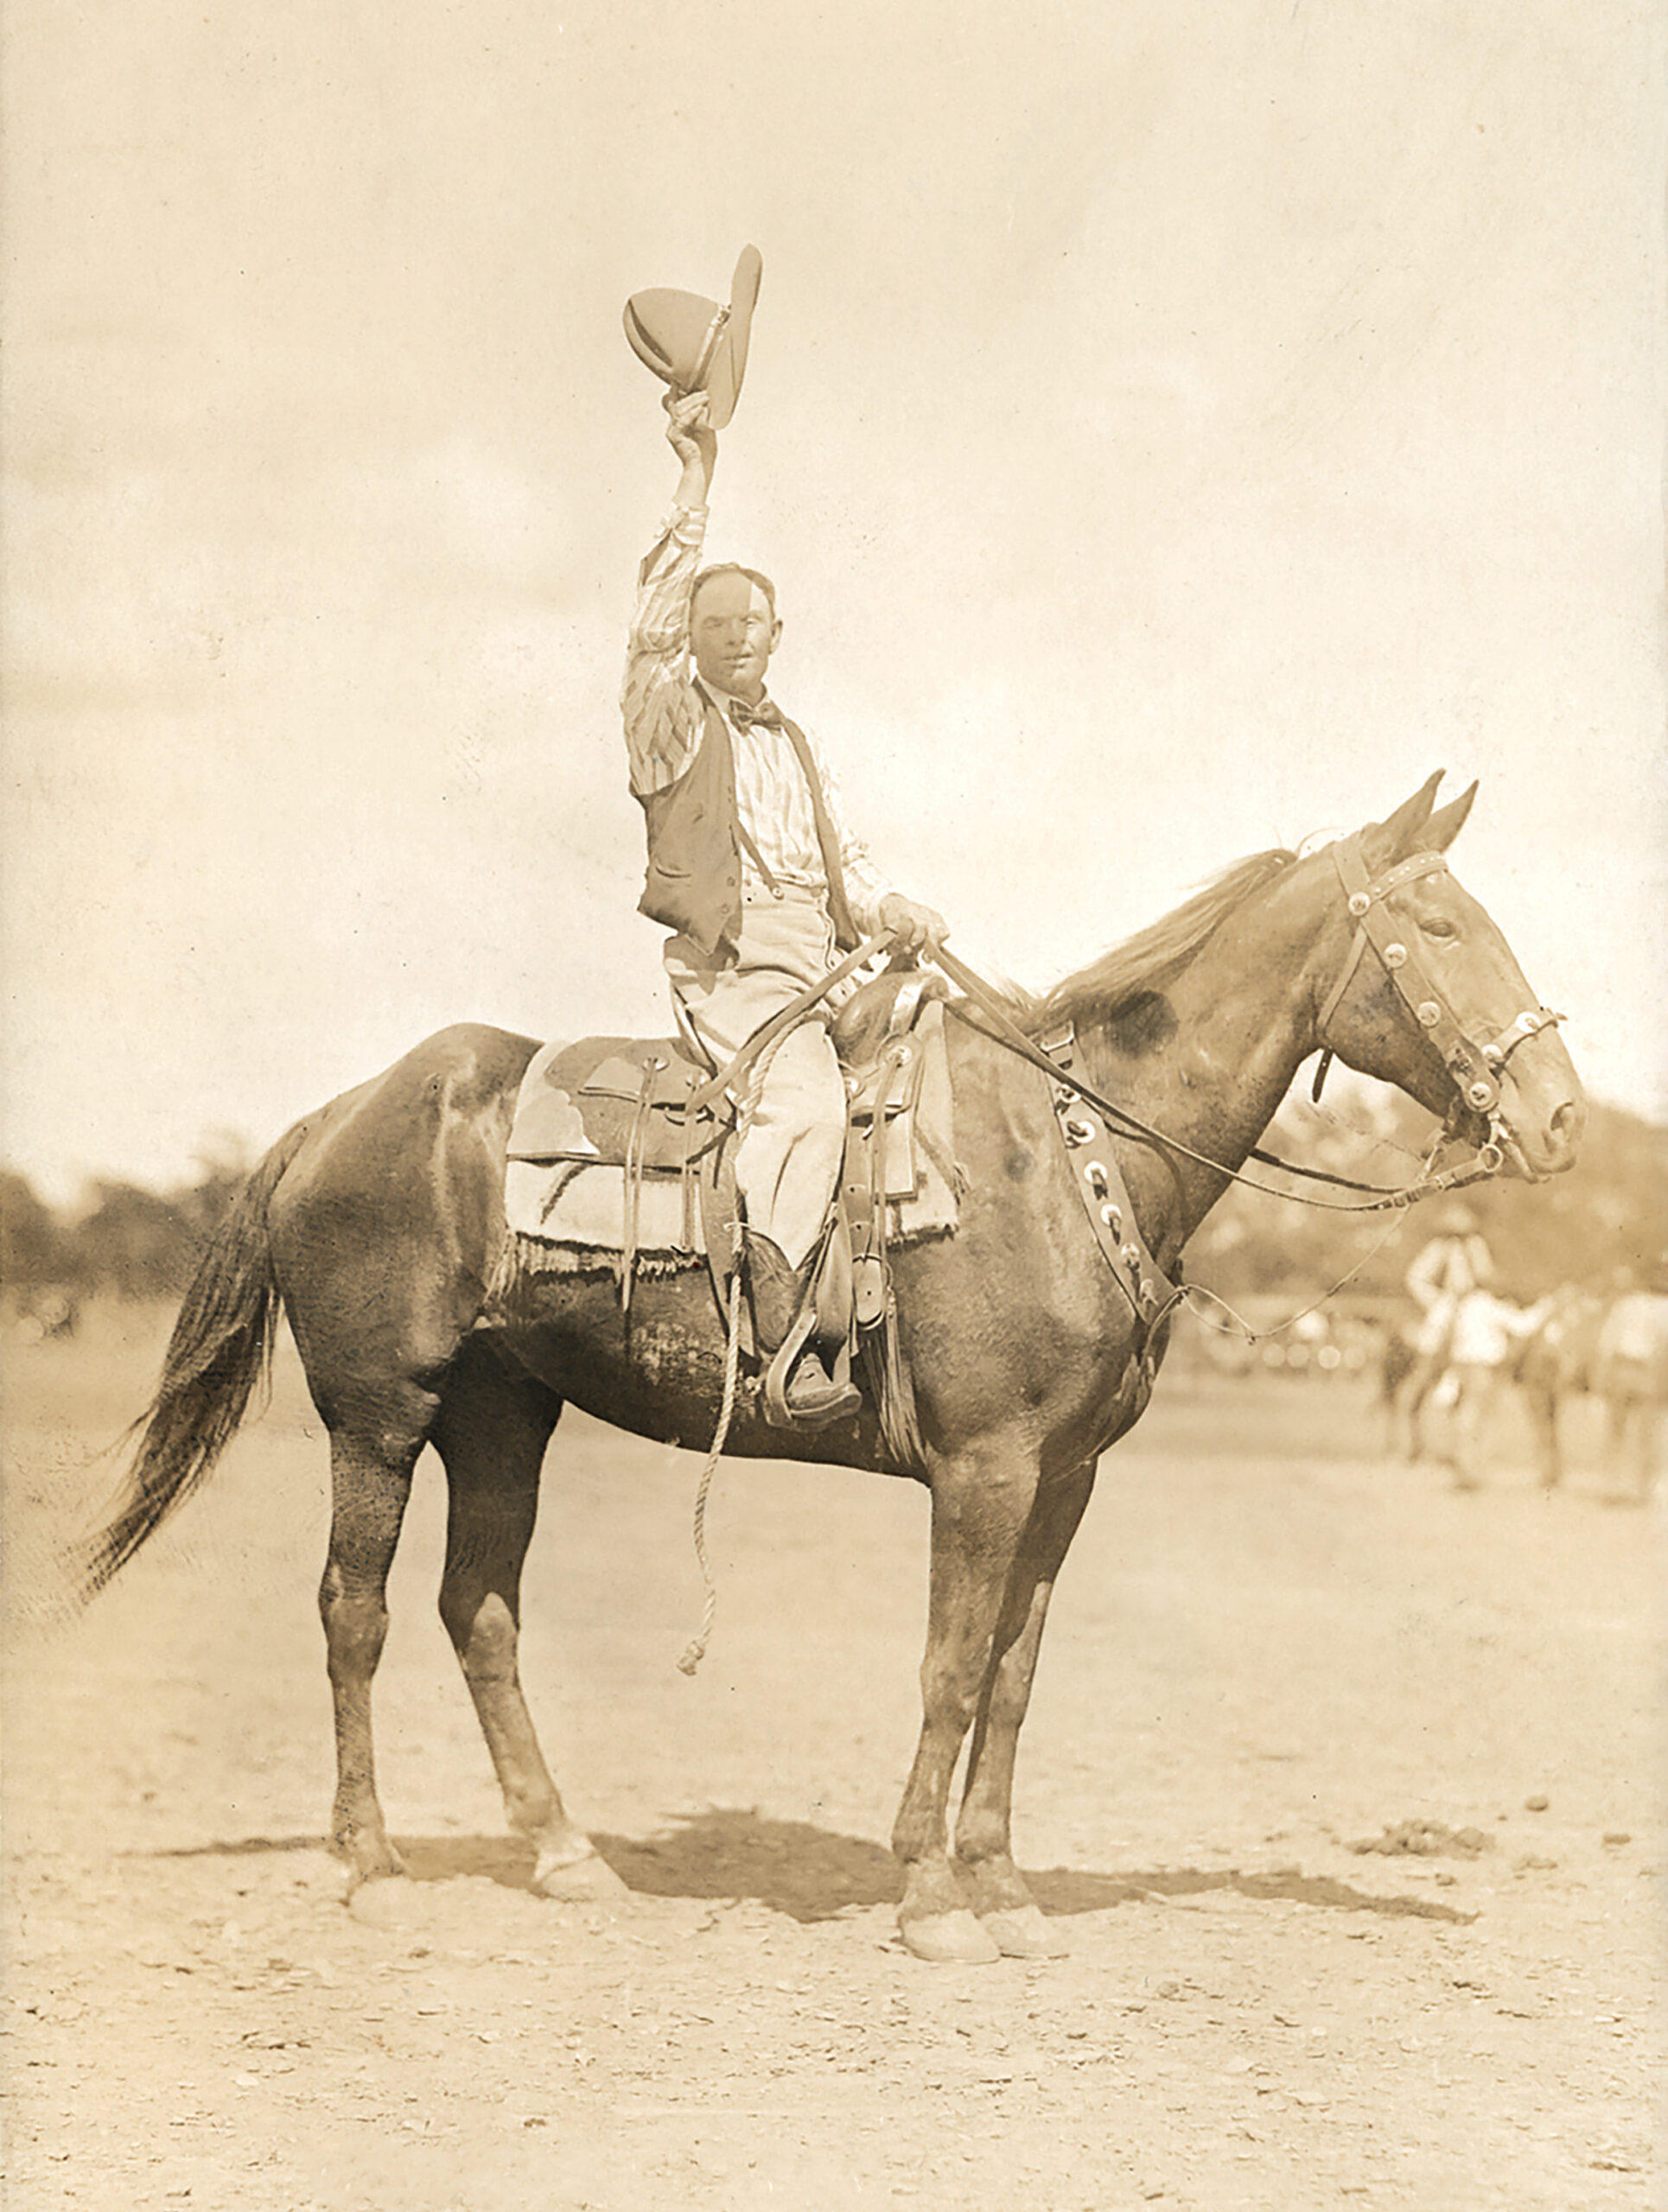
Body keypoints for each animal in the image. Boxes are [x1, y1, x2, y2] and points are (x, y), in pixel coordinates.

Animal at [81, 779, 1583, 1973]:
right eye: (1439, 929)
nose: (1560, 1117)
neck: (1068, 1153)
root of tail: (337, 1114)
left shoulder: (1063, 1485)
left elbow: (1012, 1680)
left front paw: (1001, 1887)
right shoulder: (982, 1473)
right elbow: (949, 1669)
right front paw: (927, 1898)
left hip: (504, 1417)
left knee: (480, 1613)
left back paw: (565, 1854)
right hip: (381, 1416)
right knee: (356, 1613)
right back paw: (373, 1865)